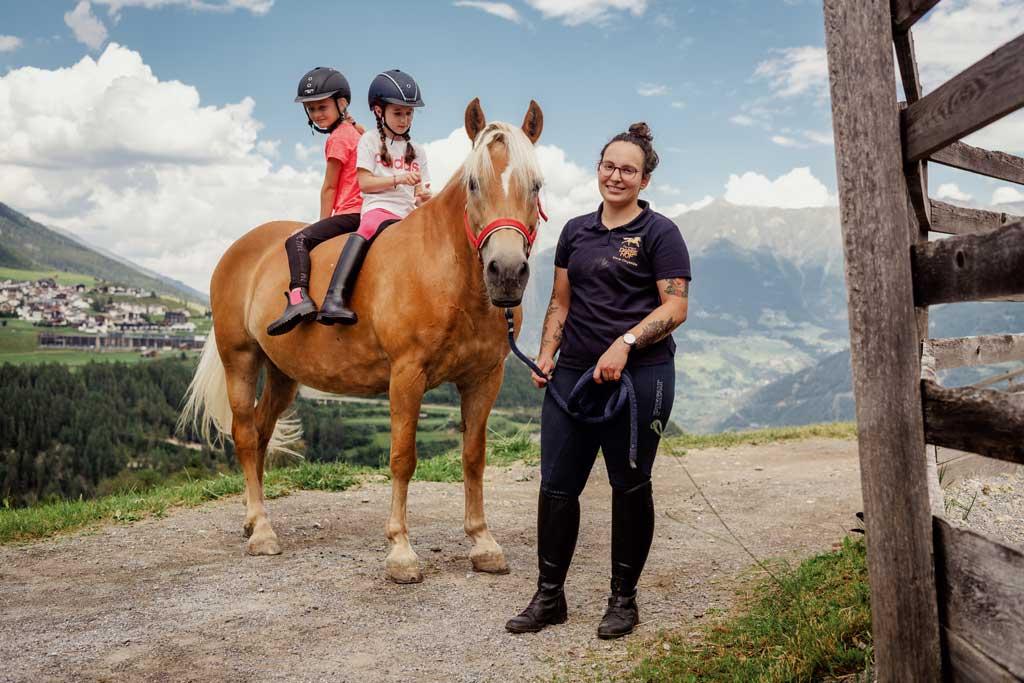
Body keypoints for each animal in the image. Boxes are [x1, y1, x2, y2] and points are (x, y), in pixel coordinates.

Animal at [178, 98, 544, 585]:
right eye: (473, 182)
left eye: (536, 184)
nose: (506, 273)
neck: (446, 272)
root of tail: (240, 249)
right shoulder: (406, 376)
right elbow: (402, 457)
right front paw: (401, 551)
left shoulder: (485, 377)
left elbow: (473, 456)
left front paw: (483, 543)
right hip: (240, 358)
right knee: (243, 434)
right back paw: (262, 531)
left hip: (283, 374)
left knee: (259, 432)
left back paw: (255, 521)